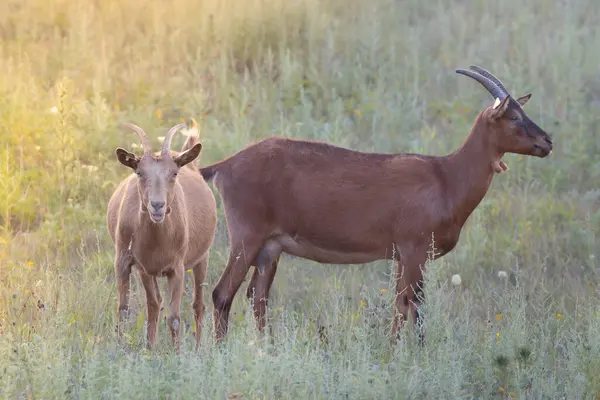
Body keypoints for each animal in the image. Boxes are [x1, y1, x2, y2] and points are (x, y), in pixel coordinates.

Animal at [106, 121, 217, 350]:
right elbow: (124, 310)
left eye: (173, 173)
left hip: (203, 257)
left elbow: (174, 317)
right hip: (146, 271)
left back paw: (198, 348)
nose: (157, 205)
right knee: (155, 303)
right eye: (139, 172)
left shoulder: (177, 268)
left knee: (199, 304)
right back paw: (151, 347)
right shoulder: (128, 261)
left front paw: (177, 354)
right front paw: (122, 350)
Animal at [200, 67, 552, 342]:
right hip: (246, 239)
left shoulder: (402, 256)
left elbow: (400, 306)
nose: (547, 141)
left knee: (256, 299)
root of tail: (224, 166)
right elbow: (414, 306)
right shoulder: (414, 251)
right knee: (222, 294)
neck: (446, 176)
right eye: (514, 117)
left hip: (269, 250)